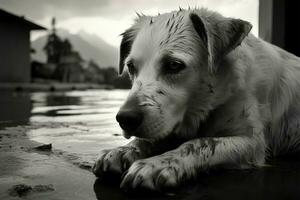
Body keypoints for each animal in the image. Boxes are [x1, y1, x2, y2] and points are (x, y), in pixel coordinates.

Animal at [92, 7, 300, 192]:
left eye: (174, 65)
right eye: (131, 66)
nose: (125, 119)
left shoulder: (252, 142)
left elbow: (199, 143)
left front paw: (159, 163)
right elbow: (147, 140)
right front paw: (121, 150)